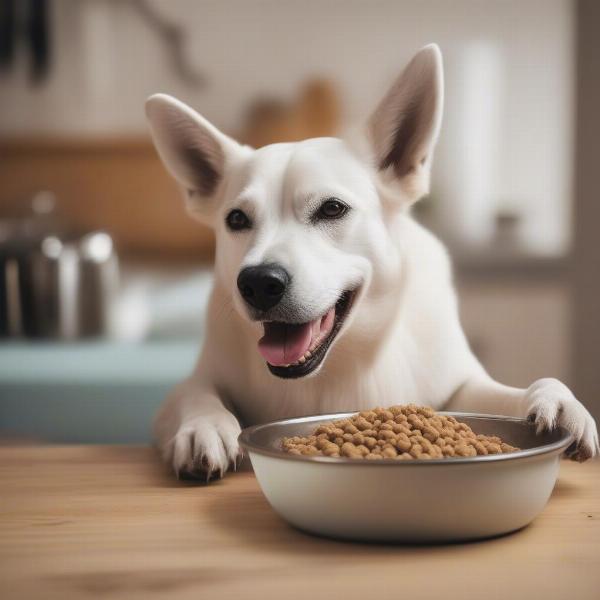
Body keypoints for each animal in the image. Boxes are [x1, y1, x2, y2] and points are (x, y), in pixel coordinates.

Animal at [144, 45, 596, 478]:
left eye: (331, 209)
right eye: (236, 220)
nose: (257, 282)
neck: (336, 369)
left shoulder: (460, 386)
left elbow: (506, 391)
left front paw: (556, 400)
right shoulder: (197, 382)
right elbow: (193, 392)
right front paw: (204, 425)